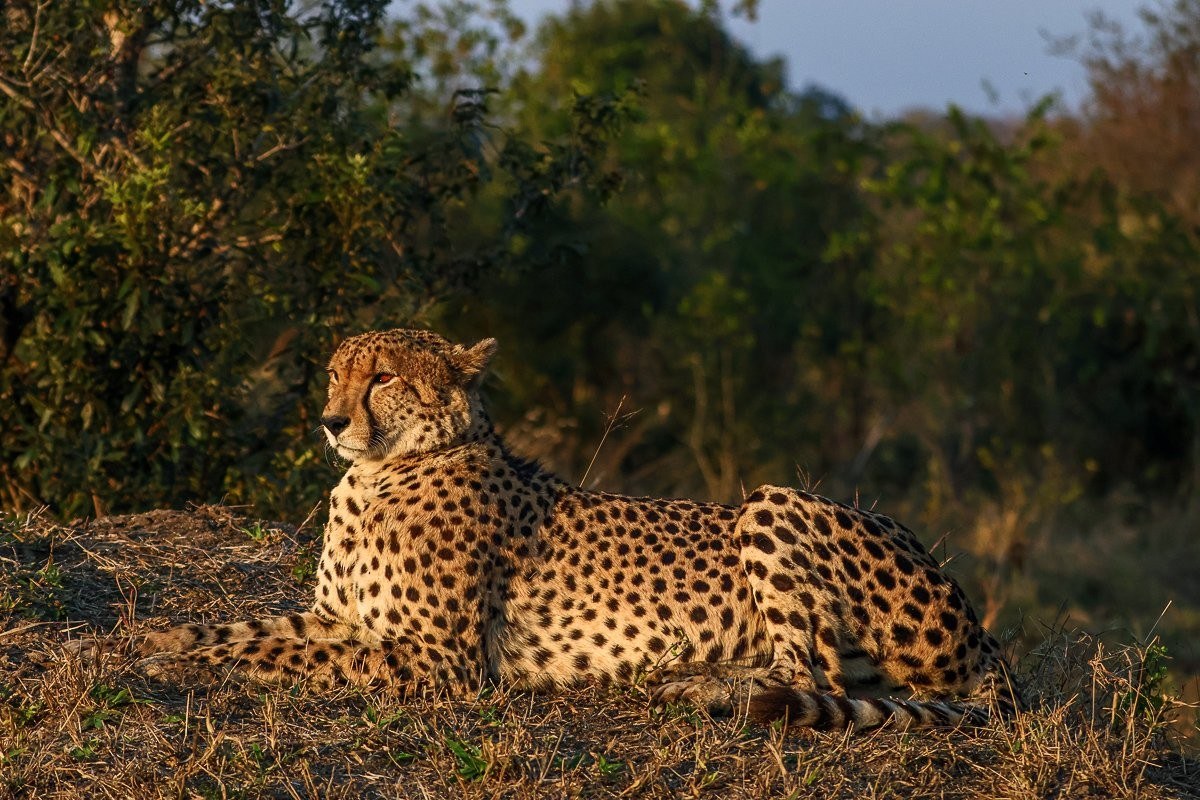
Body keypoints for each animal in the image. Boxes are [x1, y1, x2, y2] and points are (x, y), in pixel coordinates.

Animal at [89, 328, 1020, 731]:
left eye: (382, 377)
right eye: (335, 373)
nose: (329, 421)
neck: (385, 468)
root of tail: (981, 629)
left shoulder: (440, 663)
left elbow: (279, 654)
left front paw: (184, 666)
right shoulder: (340, 615)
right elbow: (247, 625)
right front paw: (141, 642)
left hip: (775, 499)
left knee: (813, 675)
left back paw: (705, 685)